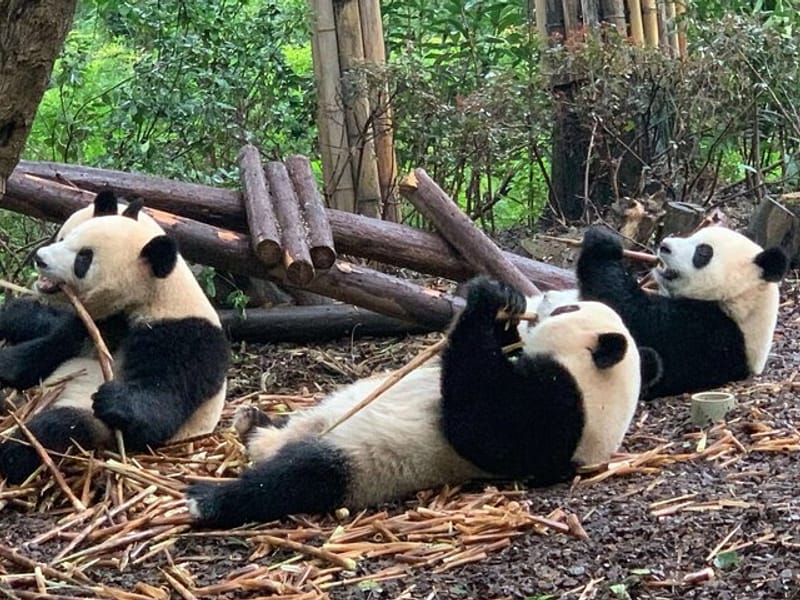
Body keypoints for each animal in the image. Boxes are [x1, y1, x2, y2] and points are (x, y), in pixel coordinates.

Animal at [0, 193, 230, 484]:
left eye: (84, 258)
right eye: (66, 238)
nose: (40, 258)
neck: (152, 297)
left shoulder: (184, 338)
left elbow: (160, 410)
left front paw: (113, 399)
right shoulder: (93, 324)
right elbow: (44, 351)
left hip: (93, 425)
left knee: (58, 427)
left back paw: (13, 453)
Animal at [186, 276, 660, 528]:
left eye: (568, 310)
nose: (543, 298)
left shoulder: (557, 415)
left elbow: (479, 423)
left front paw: (485, 300)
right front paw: (505, 302)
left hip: (359, 461)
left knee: (296, 479)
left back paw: (209, 499)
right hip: (322, 416)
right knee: (287, 433)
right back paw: (252, 421)